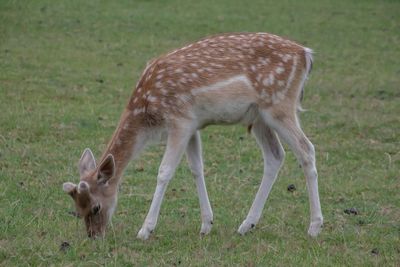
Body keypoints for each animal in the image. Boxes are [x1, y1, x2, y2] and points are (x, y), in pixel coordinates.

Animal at [63, 31, 324, 241]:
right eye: (77, 210)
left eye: (96, 207)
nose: (94, 236)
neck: (148, 117)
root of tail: (306, 54)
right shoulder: (192, 126)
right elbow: (196, 168)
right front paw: (206, 224)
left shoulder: (179, 121)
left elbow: (164, 171)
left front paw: (145, 230)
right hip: (259, 117)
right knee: (275, 156)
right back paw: (246, 225)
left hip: (279, 105)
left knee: (307, 149)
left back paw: (314, 227)